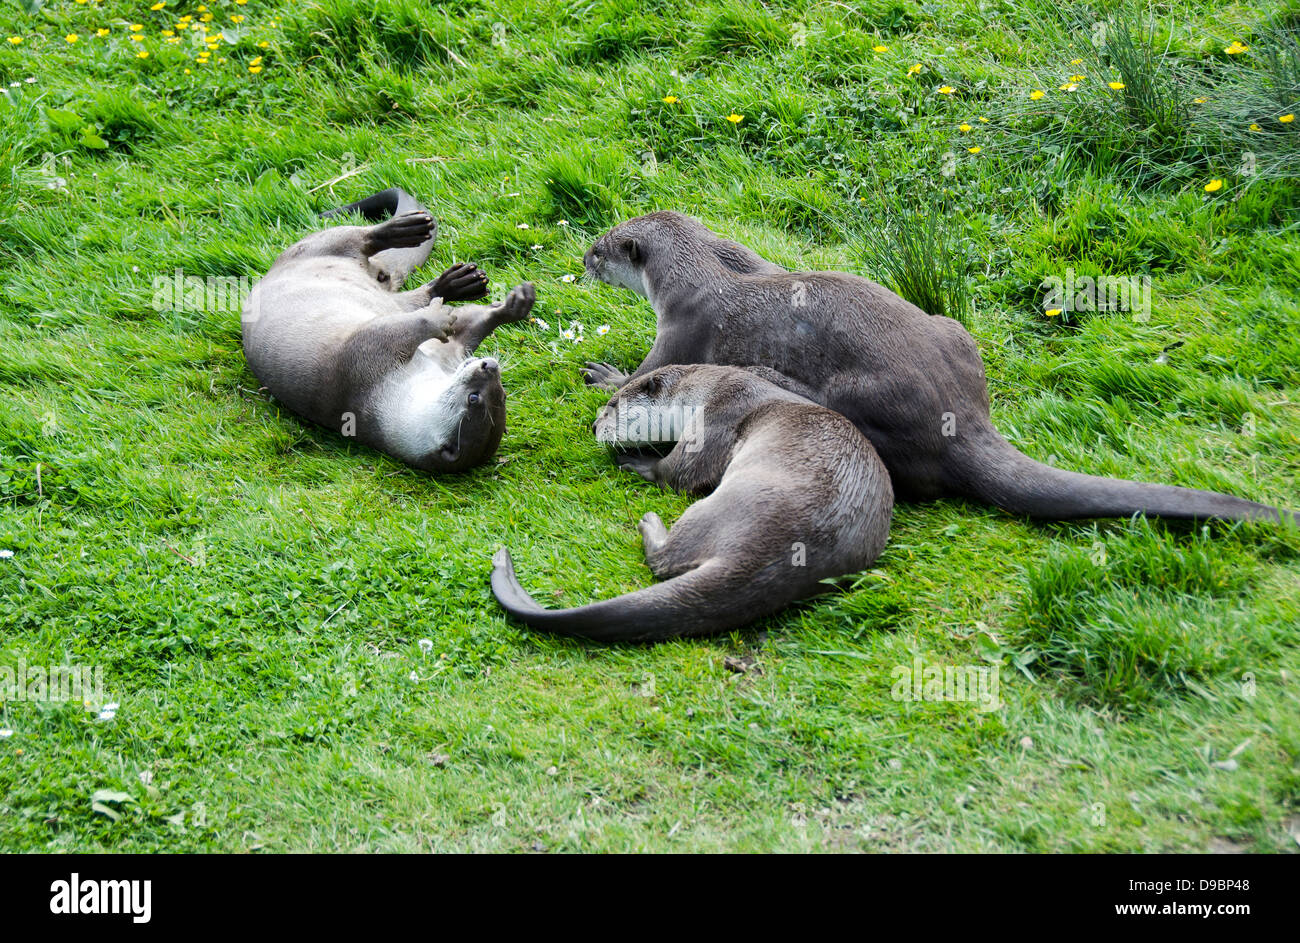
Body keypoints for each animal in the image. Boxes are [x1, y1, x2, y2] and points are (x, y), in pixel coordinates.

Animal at [242, 188, 535, 473]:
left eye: (489, 396)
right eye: (475, 398)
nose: (489, 365)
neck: (394, 388)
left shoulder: (376, 350)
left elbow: (423, 325)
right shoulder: (388, 351)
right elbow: (463, 321)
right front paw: (517, 302)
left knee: (407, 290)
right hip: (316, 247)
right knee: (361, 236)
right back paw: (416, 237)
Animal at [491, 364, 894, 641]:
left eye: (612, 406)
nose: (593, 426)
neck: (706, 391)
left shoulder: (717, 417)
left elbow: (679, 472)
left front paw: (638, 460)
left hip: (722, 506)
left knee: (664, 559)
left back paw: (649, 522)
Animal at [581, 211, 1297, 524]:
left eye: (600, 248)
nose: (584, 256)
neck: (702, 267)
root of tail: (962, 418)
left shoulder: (680, 328)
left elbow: (643, 374)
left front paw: (604, 377)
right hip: (953, 330)